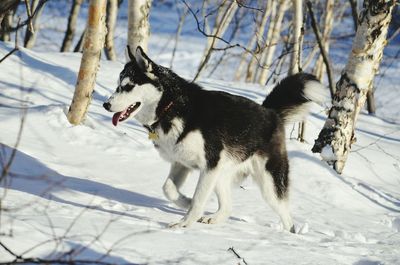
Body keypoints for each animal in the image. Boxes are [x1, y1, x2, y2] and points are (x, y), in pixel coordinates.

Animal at [103, 46, 324, 231]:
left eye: (128, 86)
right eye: (118, 85)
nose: (106, 104)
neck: (171, 106)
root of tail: (271, 113)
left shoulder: (208, 164)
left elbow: (198, 199)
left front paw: (183, 223)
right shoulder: (182, 164)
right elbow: (168, 189)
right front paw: (185, 201)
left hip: (268, 183)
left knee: (286, 217)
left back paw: (288, 235)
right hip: (220, 174)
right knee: (227, 206)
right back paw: (215, 218)